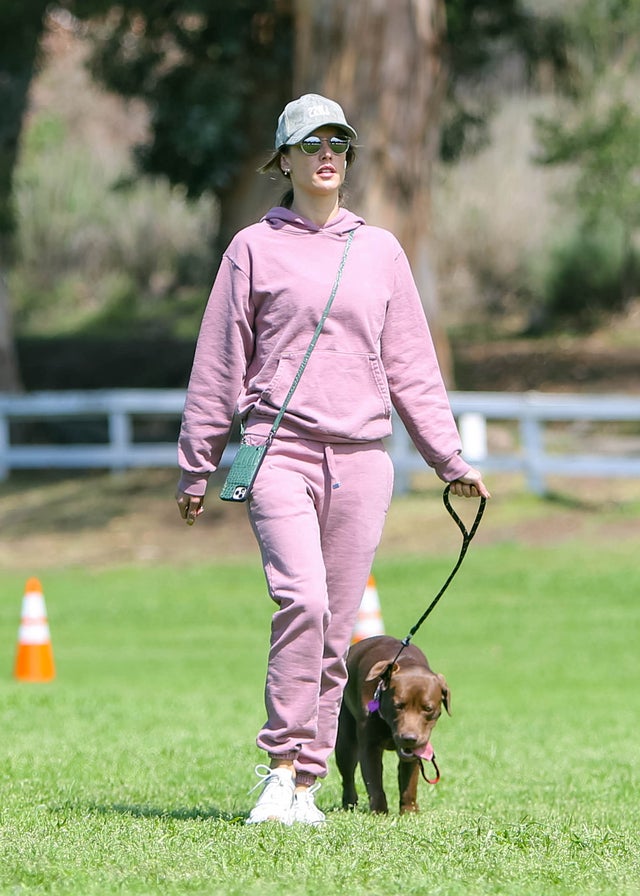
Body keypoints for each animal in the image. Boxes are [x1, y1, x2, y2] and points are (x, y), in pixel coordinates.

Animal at [336, 632, 450, 816]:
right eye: (398, 705)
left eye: (428, 708)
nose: (409, 738)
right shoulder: (370, 746)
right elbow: (374, 781)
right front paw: (379, 812)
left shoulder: (415, 751)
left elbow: (409, 782)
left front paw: (409, 811)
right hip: (345, 738)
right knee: (347, 773)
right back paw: (349, 804)